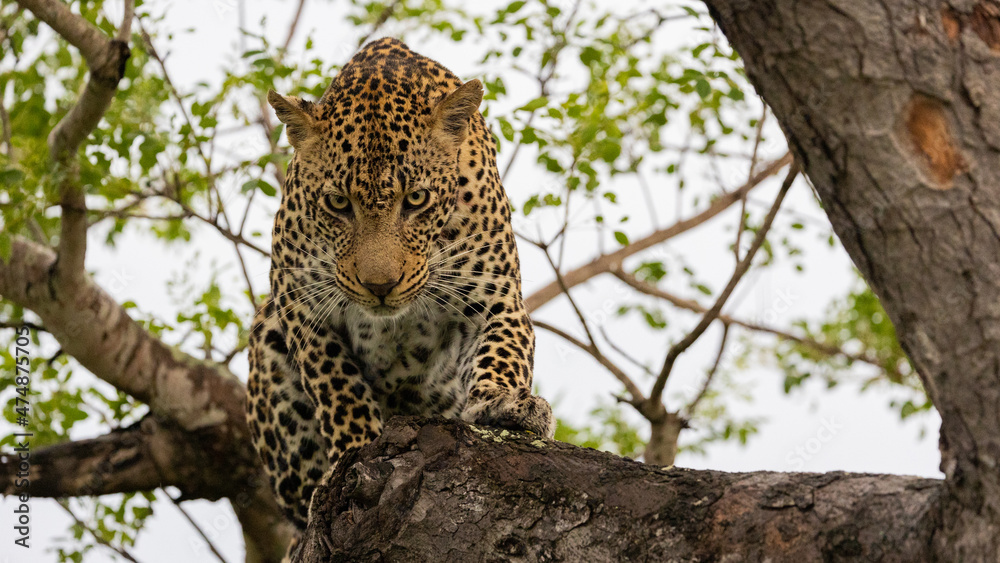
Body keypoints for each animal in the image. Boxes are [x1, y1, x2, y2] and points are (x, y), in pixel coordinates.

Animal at [246, 37, 555, 530]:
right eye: (338, 203)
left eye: (417, 199)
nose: (380, 286)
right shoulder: (299, 304)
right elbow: (337, 385)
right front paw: (354, 451)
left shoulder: (495, 295)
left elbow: (502, 350)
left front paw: (506, 403)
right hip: (267, 334)